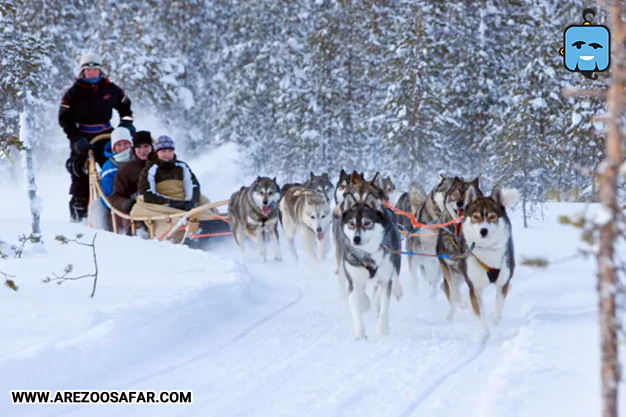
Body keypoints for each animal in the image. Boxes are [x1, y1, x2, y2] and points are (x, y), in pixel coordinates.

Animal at [338, 192, 402, 338]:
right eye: (351, 223)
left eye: (367, 223)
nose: (356, 239)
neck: (368, 255)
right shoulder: (353, 280)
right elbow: (357, 306)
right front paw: (360, 334)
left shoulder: (385, 280)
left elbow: (384, 307)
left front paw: (383, 330)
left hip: (396, 257)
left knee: (395, 276)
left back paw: (396, 291)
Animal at [454, 185, 516, 334]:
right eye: (476, 217)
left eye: (492, 216)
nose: (484, 230)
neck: (487, 250)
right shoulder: (475, 288)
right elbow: (480, 314)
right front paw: (484, 334)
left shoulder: (502, 283)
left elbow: (499, 307)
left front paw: (494, 319)